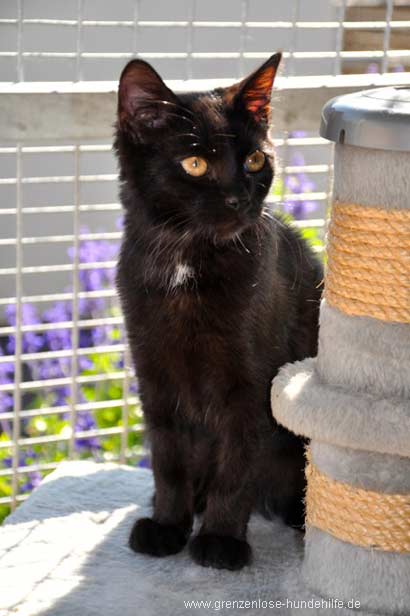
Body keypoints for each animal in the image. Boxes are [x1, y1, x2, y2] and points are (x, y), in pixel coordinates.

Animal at [114, 52, 323, 571]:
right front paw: (168, 525)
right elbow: (168, 459)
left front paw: (221, 540)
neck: (186, 264)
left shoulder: (250, 383)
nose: (239, 199)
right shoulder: (154, 374)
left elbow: (238, 459)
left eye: (254, 160)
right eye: (195, 164)